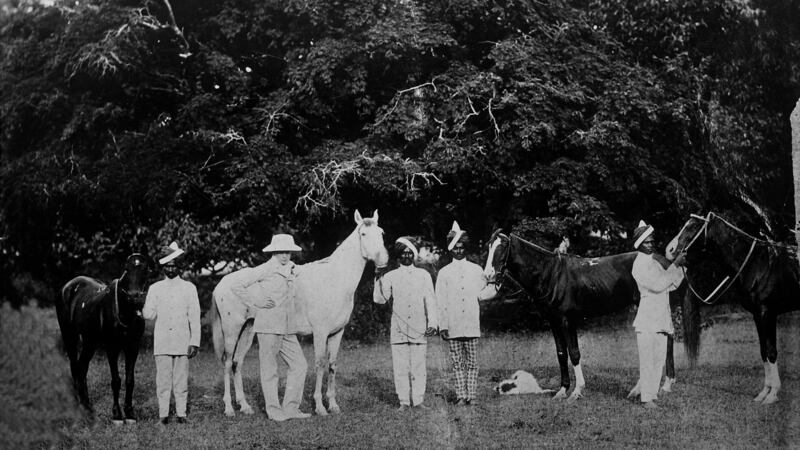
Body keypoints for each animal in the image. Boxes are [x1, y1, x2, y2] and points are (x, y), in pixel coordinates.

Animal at [55, 253, 150, 423]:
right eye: (127, 269)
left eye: (145, 269)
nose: (134, 297)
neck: (125, 311)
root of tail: (66, 287)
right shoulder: (112, 347)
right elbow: (116, 380)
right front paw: (117, 415)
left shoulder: (133, 347)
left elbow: (130, 380)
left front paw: (129, 413)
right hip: (70, 336)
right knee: (75, 366)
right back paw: (79, 405)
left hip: (89, 341)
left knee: (82, 367)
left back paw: (86, 405)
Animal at [210, 210, 389, 416]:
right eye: (363, 234)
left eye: (381, 232)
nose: (383, 260)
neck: (334, 280)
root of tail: (222, 283)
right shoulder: (320, 332)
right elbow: (320, 364)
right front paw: (320, 407)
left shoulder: (337, 333)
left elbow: (332, 364)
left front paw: (333, 405)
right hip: (232, 330)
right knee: (226, 362)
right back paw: (229, 408)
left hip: (247, 330)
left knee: (237, 363)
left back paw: (245, 406)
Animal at [483, 231, 688, 401]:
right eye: (489, 246)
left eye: (502, 248)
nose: (488, 276)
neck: (552, 275)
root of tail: (666, 264)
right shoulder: (554, 321)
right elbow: (561, 353)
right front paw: (561, 391)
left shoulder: (568, 321)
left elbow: (574, 353)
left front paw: (577, 391)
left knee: (665, 339)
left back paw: (661, 386)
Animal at [666, 212, 800, 404]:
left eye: (693, 226)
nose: (669, 250)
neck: (757, 264)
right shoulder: (758, 316)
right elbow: (763, 352)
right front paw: (764, 393)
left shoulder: (767, 313)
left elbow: (771, 351)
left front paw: (772, 394)